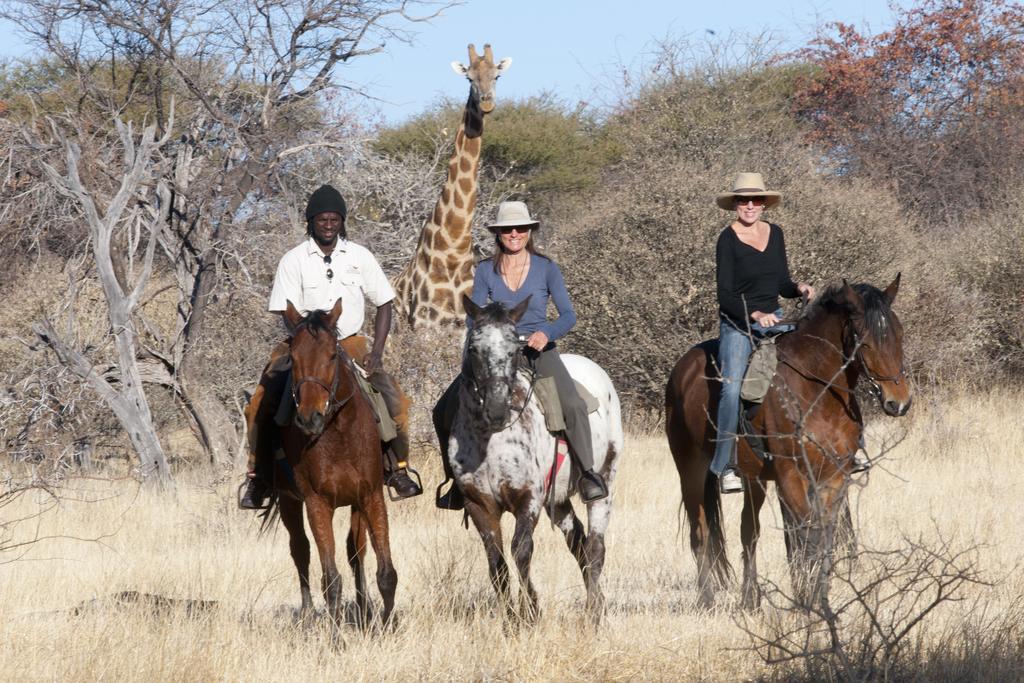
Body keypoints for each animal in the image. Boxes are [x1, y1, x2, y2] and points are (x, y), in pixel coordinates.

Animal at [266, 301, 397, 630]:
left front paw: (387, 626)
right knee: (300, 550)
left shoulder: (370, 495)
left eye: (332, 355)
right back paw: (308, 615)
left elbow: (385, 572)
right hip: (289, 501)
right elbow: (330, 580)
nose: (309, 418)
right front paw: (337, 636)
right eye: (293, 358)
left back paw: (364, 611)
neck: (338, 433)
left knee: (355, 551)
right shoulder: (317, 504)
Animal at [450, 294, 622, 626]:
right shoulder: (479, 505)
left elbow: (521, 550)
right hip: (558, 500)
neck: (490, 439)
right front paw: (510, 621)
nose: (497, 409)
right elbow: (497, 563)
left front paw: (530, 612)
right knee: (578, 543)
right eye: (474, 347)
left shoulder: (527, 499)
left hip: (604, 482)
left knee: (596, 547)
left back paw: (593, 613)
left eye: (514, 348)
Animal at [663, 274, 913, 610]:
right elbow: (805, 535)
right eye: (863, 338)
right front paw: (807, 598)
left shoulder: (833, 477)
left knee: (748, 531)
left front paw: (818, 595)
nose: (898, 402)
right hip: (690, 469)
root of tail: (684, 367)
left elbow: (822, 535)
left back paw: (751, 599)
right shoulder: (791, 476)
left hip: (754, 479)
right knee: (699, 531)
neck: (818, 391)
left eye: (899, 333)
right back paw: (707, 600)